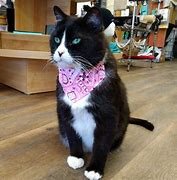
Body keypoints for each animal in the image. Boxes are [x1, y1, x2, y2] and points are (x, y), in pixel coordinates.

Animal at [49, 6, 153, 180]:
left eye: (76, 40)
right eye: (56, 39)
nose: (60, 52)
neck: (79, 77)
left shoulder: (108, 116)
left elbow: (102, 144)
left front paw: (95, 169)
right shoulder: (65, 109)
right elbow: (72, 134)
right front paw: (76, 156)